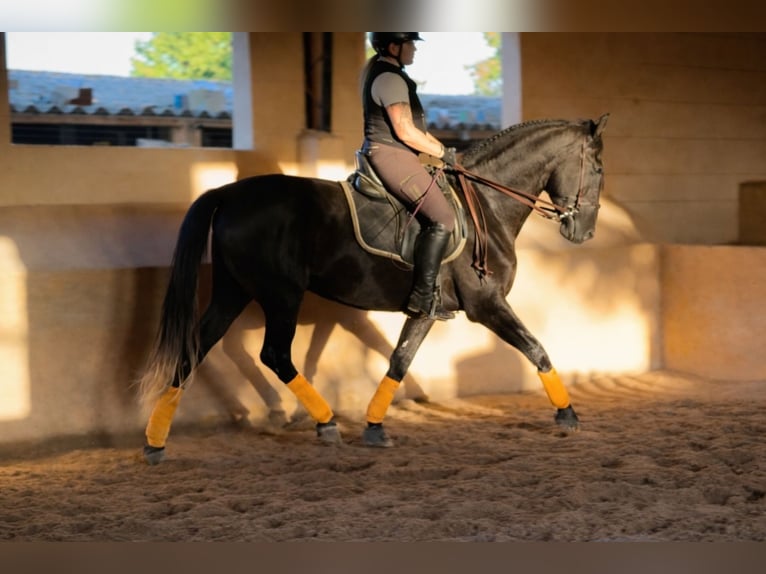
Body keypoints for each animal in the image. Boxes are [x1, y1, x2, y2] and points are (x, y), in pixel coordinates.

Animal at [139, 114, 610, 465]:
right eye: (599, 169)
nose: (583, 232)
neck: (487, 205)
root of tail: (229, 193)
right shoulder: (487, 304)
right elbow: (537, 349)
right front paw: (568, 414)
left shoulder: (426, 310)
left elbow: (399, 361)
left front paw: (375, 426)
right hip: (281, 294)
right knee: (273, 354)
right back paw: (326, 422)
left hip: (233, 291)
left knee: (196, 348)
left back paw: (155, 443)